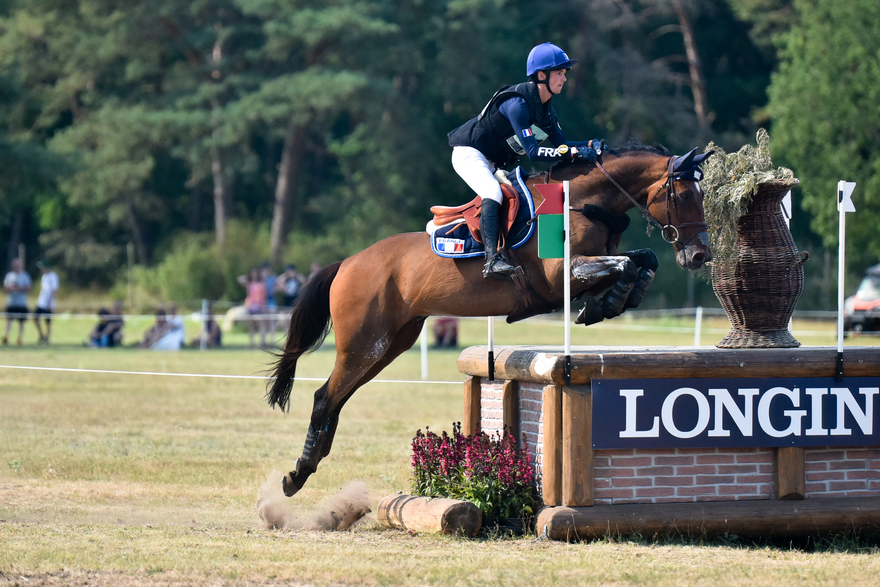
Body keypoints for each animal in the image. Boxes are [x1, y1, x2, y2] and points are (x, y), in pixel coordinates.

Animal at [264, 142, 712, 496]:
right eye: (684, 194)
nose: (699, 256)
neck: (582, 202)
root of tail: (346, 264)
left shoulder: (591, 265)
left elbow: (642, 260)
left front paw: (613, 302)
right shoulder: (562, 277)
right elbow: (626, 264)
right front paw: (606, 303)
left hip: (390, 345)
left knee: (338, 398)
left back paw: (311, 461)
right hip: (363, 344)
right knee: (325, 398)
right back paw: (297, 475)